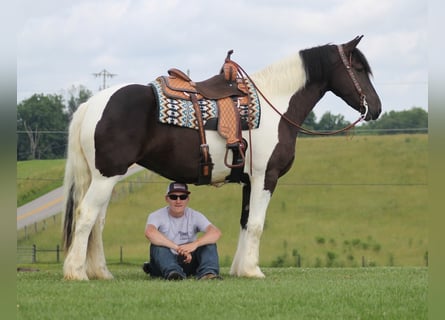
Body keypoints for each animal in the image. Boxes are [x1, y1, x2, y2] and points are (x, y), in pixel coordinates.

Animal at [61, 35, 382, 280]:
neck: (276, 106)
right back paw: (76, 272)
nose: (376, 108)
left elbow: (245, 222)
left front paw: (241, 269)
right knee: (87, 216)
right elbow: (257, 224)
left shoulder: (249, 182)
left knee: (98, 222)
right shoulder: (265, 178)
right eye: (358, 68)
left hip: (104, 178)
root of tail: (92, 104)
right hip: (106, 177)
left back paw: (101, 272)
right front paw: (253, 271)